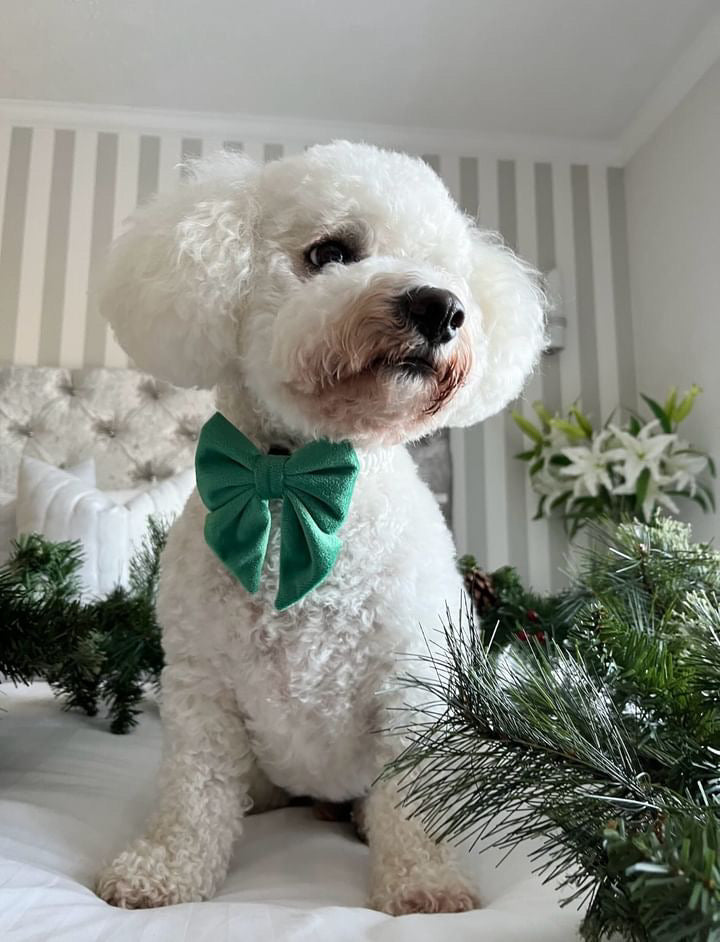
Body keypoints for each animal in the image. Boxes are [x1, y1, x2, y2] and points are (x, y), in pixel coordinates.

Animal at [95, 140, 544, 916]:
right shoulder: (201, 687)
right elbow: (193, 794)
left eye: (446, 271)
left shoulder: (411, 685)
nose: (442, 307)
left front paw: (422, 883)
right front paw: (166, 871)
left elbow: (415, 804)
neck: (293, 481)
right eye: (330, 253)